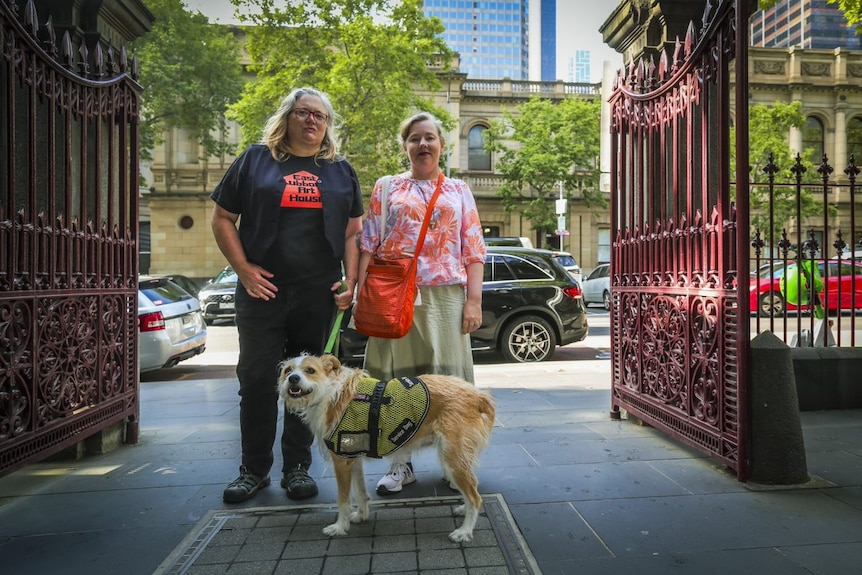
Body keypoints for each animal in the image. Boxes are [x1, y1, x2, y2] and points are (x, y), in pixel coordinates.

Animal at [276, 354, 492, 544]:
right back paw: (464, 509)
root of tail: (477, 395)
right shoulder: (353, 457)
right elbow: (361, 492)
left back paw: (465, 531)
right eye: (288, 371)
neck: (331, 391)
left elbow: (343, 500)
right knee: (472, 490)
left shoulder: (341, 462)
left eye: (310, 370)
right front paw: (361, 515)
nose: (293, 378)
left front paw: (339, 527)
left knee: (475, 497)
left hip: (453, 457)